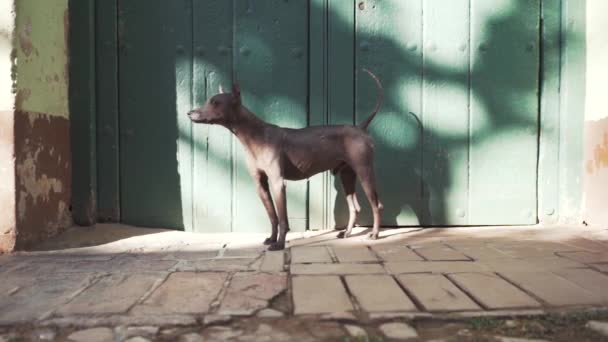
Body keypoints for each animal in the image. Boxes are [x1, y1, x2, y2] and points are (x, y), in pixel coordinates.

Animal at [186, 70, 384, 251]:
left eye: (215, 102)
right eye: (208, 101)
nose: (189, 113)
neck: (255, 135)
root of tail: (361, 128)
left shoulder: (277, 183)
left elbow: (282, 219)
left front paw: (280, 244)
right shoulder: (261, 184)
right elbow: (272, 216)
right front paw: (272, 239)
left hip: (365, 172)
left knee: (376, 205)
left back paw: (374, 234)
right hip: (346, 176)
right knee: (354, 207)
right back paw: (347, 233)